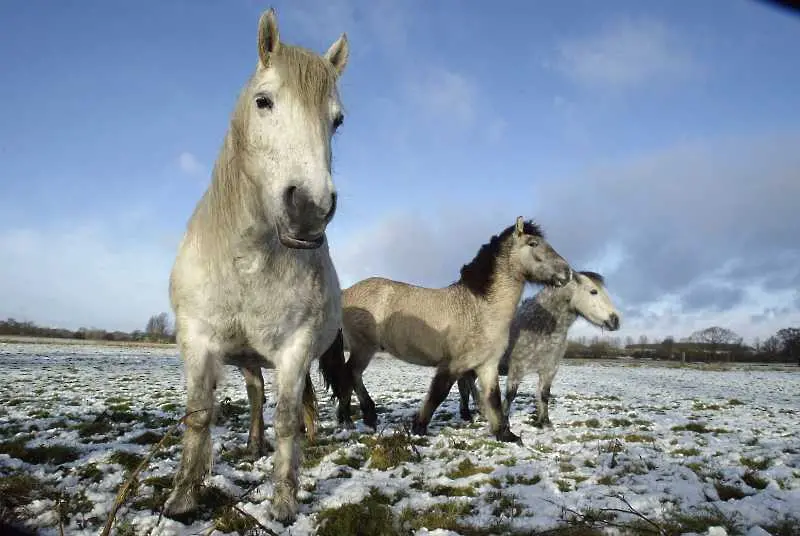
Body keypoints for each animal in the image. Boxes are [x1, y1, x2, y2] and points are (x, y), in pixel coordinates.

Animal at [164, 6, 348, 520]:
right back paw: (250, 443)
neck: (248, 260)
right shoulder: (198, 339)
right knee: (254, 393)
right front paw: (183, 497)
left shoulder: (295, 348)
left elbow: (287, 418)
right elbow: (199, 414)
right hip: (245, 358)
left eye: (338, 121)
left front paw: (283, 501)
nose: (309, 208)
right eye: (264, 102)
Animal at [320, 218, 576, 444]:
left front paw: (506, 435)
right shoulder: (452, 365)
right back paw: (350, 419)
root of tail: (345, 293)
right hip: (363, 347)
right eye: (533, 243)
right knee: (349, 374)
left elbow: (493, 399)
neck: (478, 308)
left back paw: (364, 417)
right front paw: (419, 429)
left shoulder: (487, 365)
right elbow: (437, 394)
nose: (567, 273)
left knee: (352, 375)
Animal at [456, 270, 620, 430]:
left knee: (465, 385)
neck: (537, 327)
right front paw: (505, 423)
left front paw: (544, 423)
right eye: (593, 291)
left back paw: (470, 413)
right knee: (466, 386)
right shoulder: (516, 369)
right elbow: (510, 395)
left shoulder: (549, 371)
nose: (616, 320)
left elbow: (544, 395)